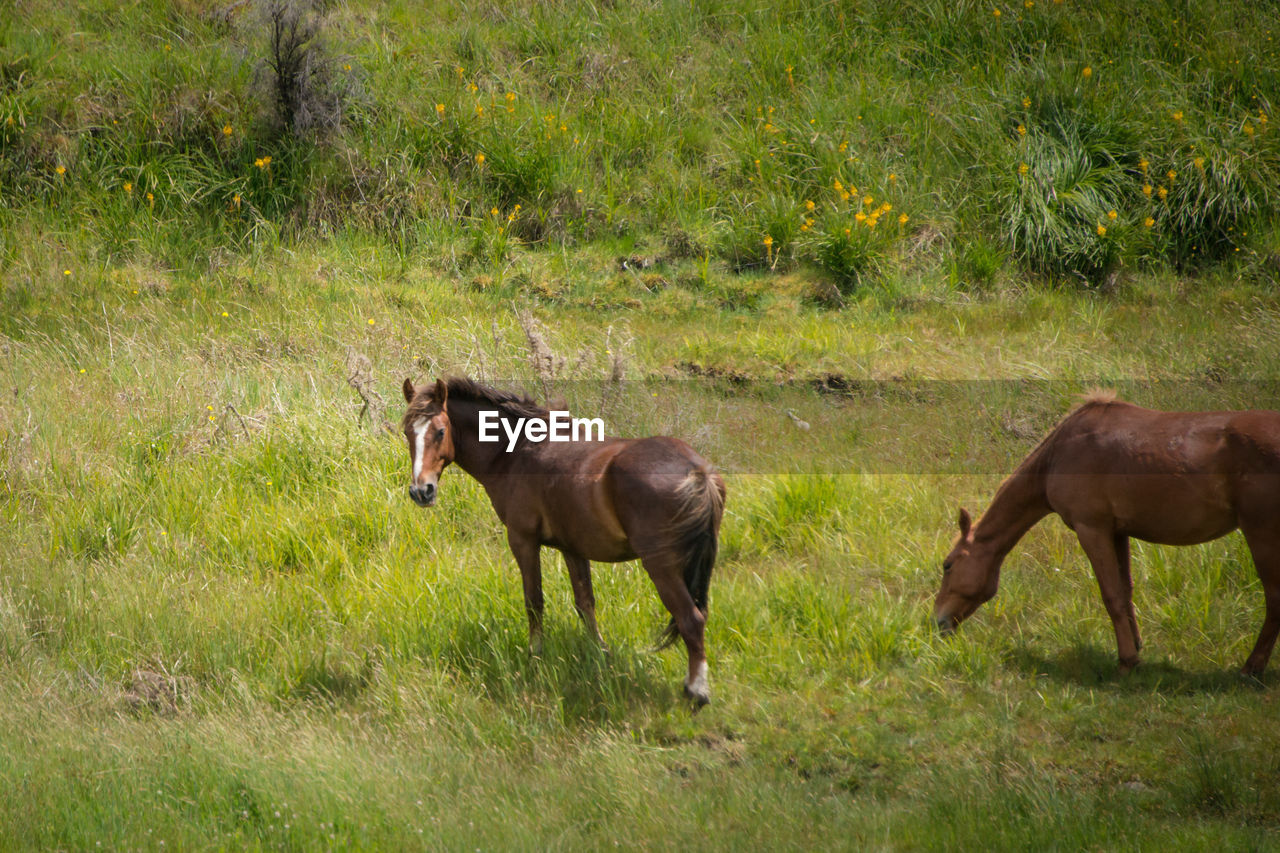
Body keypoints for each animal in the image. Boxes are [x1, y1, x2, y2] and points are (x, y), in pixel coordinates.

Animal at [399, 376, 727, 701]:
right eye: (407, 432)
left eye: (440, 431)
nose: (421, 491)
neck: (516, 451)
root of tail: (698, 472)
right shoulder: (573, 548)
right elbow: (585, 603)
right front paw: (599, 653)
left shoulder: (523, 541)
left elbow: (534, 601)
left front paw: (535, 655)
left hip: (662, 567)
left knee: (691, 619)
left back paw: (696, 691)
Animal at [931, 389, 1280, 676]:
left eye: (948, 565)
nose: (938, 622)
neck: (1059, 454)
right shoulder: (1118, 532)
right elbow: (1125, 592)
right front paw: (1135, 647)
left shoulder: (1092, 529)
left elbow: (1111, 594)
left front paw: (1127, 661)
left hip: (1262, 534)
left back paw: (1251, 668)